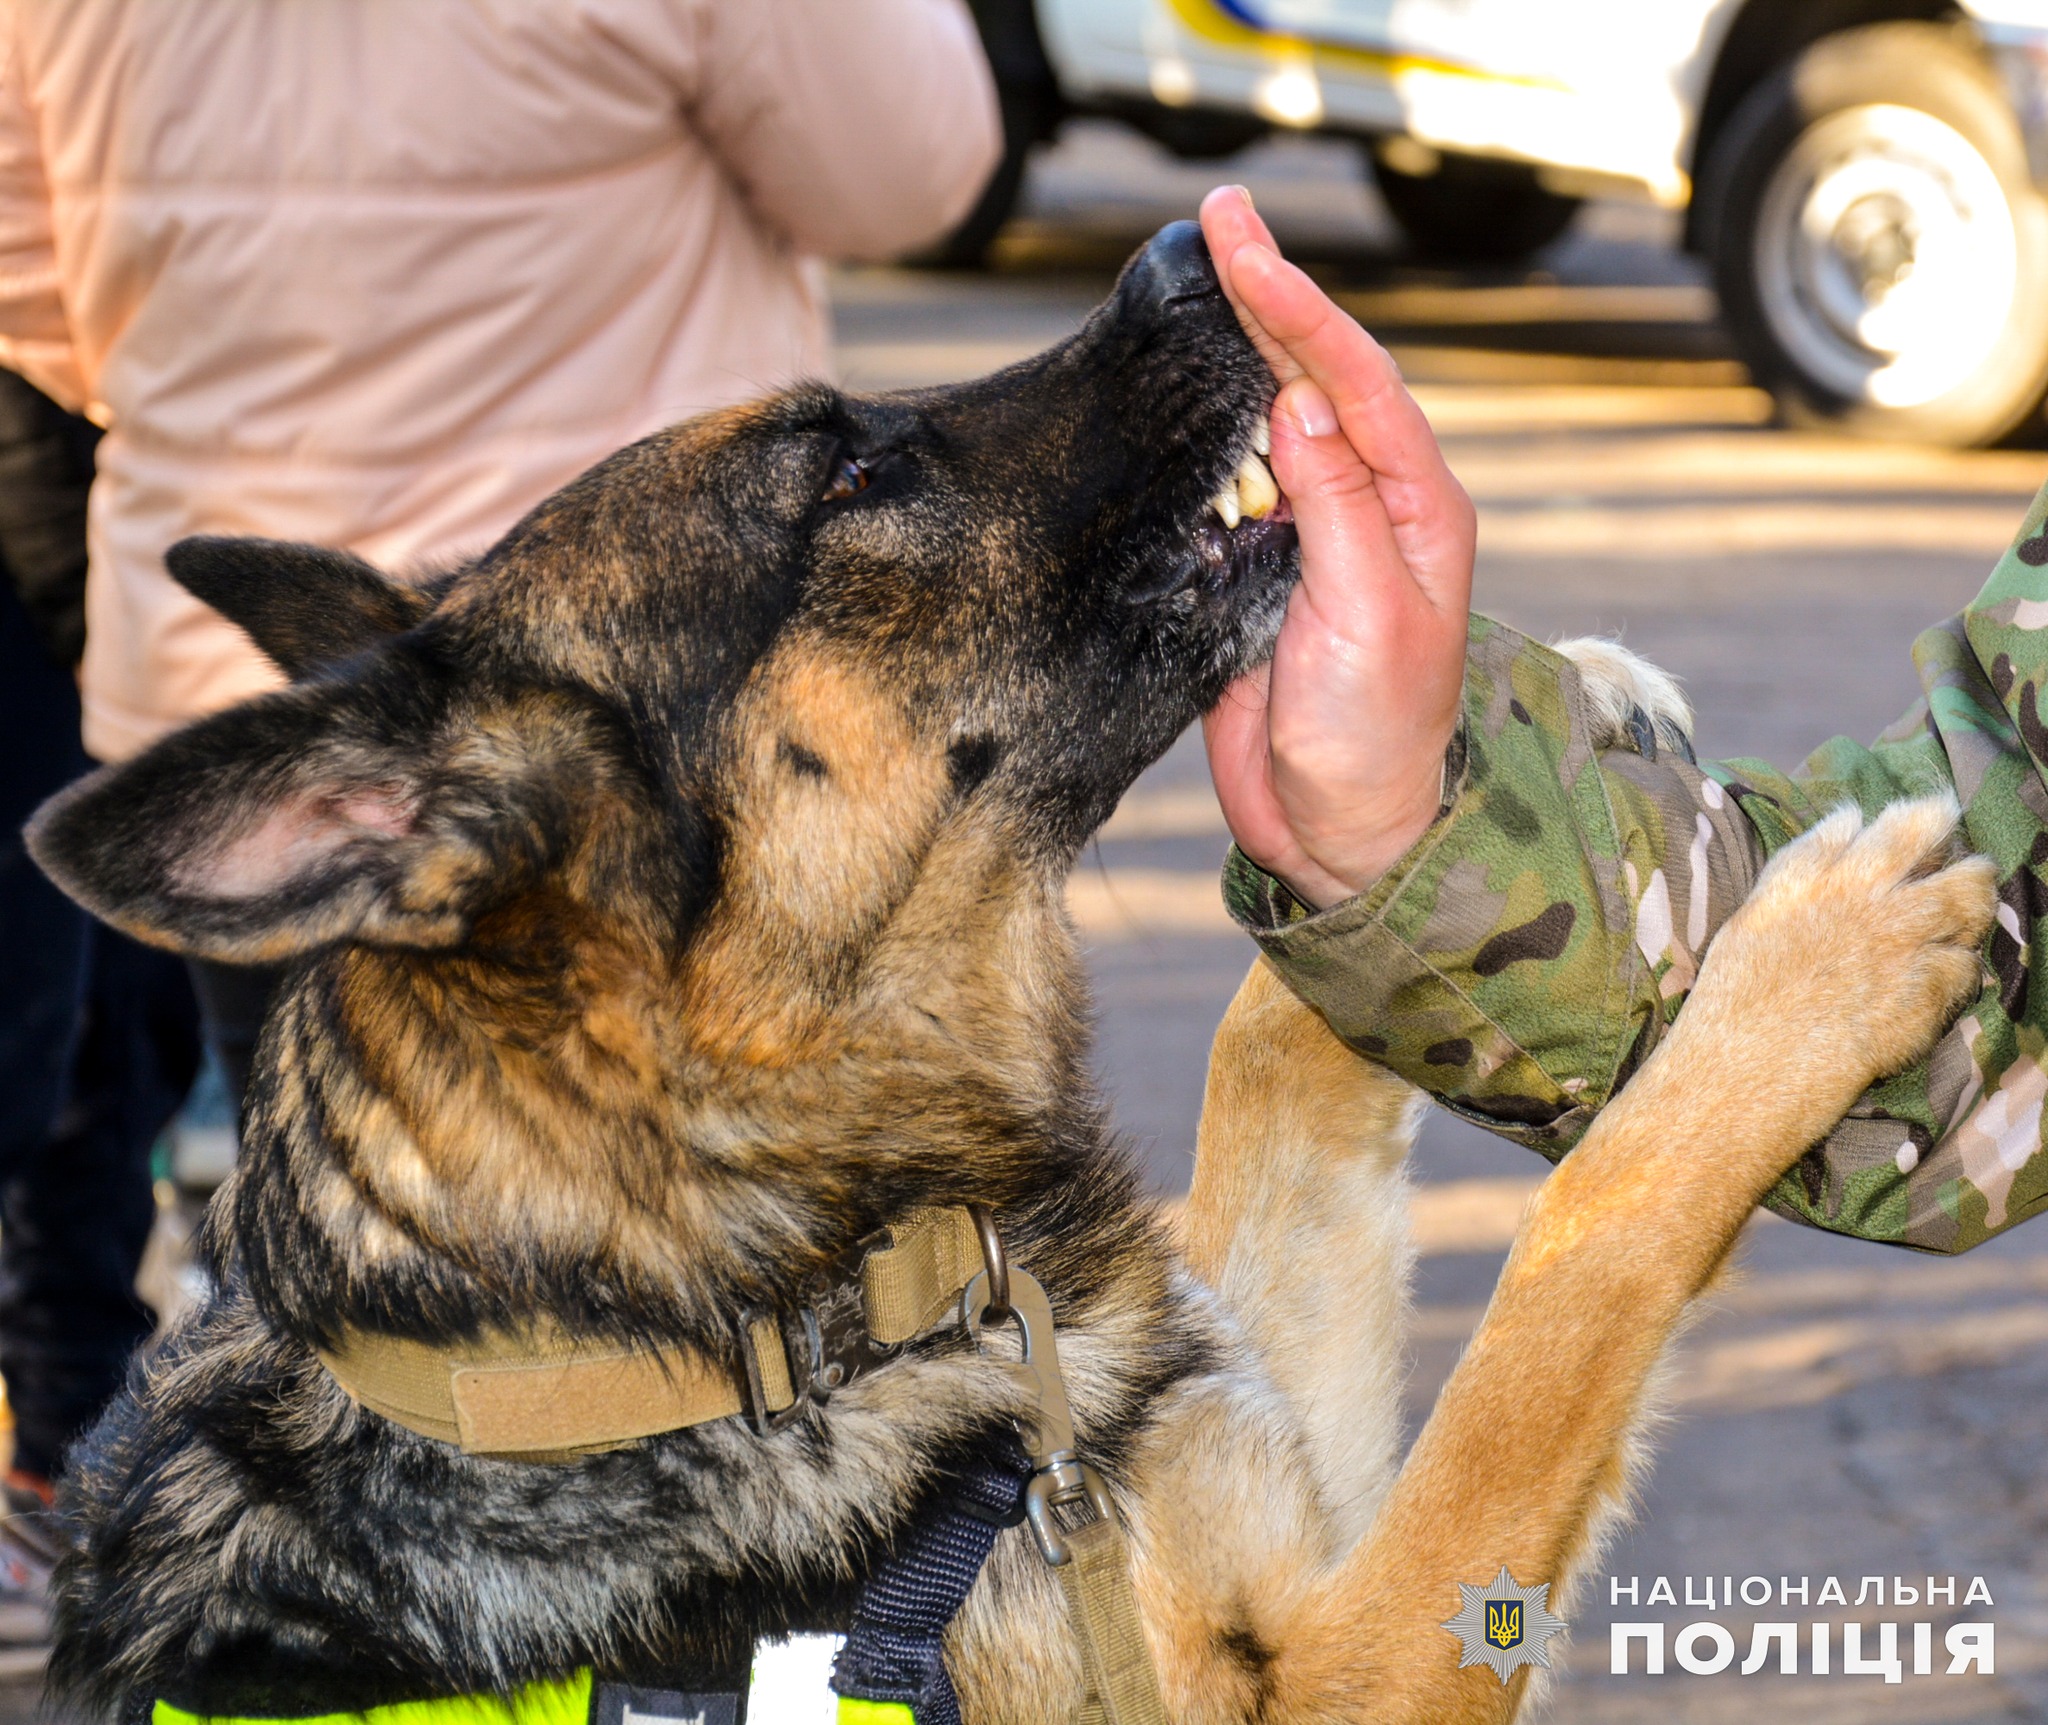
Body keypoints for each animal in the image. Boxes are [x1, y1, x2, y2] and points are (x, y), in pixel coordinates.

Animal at [24, 228, 1990, 1720]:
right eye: (843, 473)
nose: (1186, 245)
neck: (744, 1319)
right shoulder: (1350, 1665)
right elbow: (1570, 1282)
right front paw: (1805, 971)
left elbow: (1277, 1033)